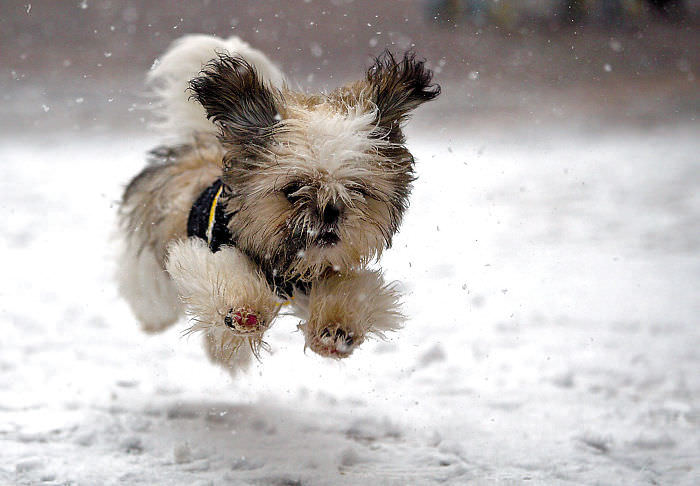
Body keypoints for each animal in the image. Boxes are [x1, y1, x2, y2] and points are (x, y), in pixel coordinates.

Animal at [117, 35, 440, 376]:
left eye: (357, 189)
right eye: (293, 189)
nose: (330, 211)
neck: (285, 267)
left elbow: (354, 290)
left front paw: (337, 328)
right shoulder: (205, 251)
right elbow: (225, 273)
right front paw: (243, 309)